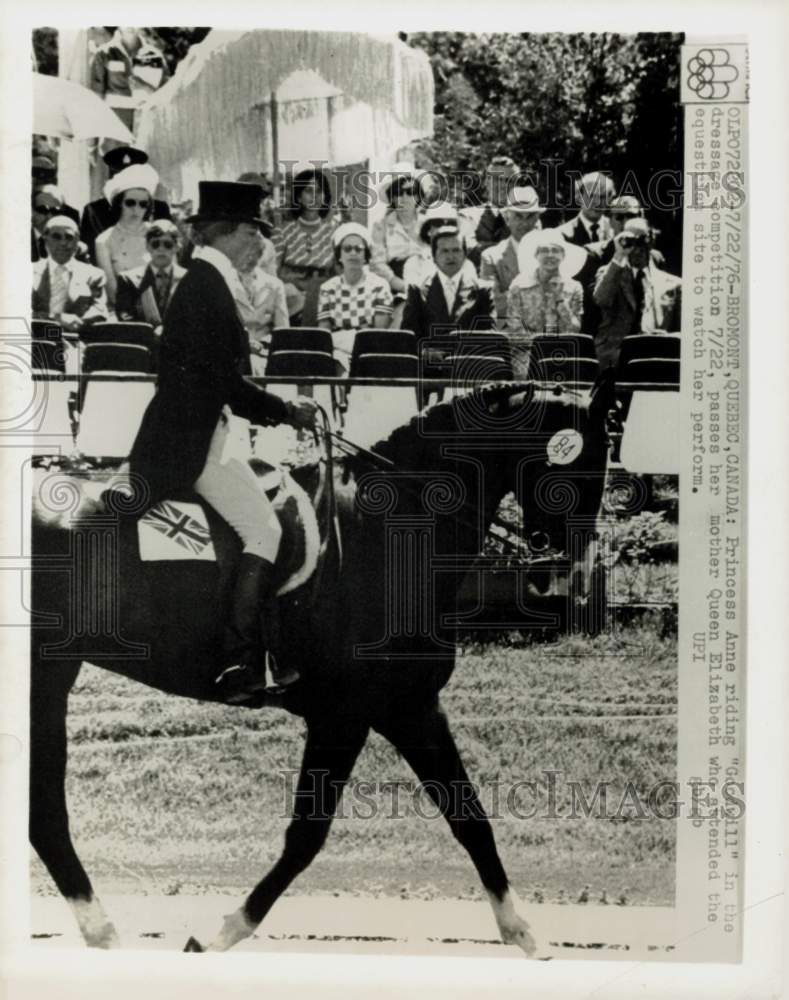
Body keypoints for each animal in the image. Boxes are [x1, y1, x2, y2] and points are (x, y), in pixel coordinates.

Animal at [29, 380, 608, 952]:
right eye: (576, 468)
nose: (570, 574)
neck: (387, 531)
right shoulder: (343, 717)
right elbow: (307, 834)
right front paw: (219, 935)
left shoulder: (411, 706)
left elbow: (471, 819)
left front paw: (526, 936)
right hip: (45, 681)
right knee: (45, 812)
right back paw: (103, 933)